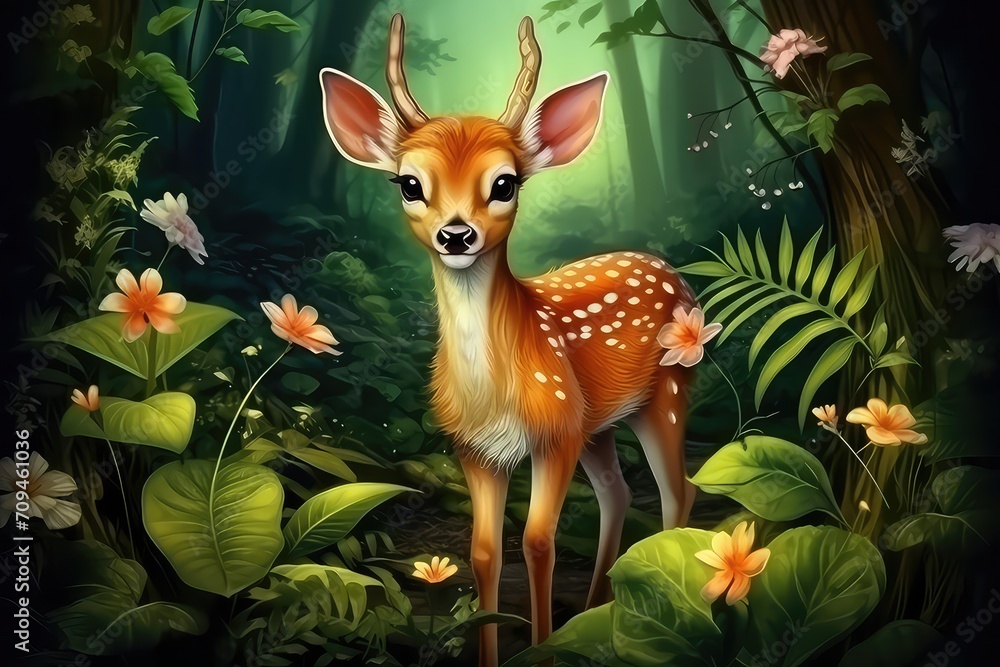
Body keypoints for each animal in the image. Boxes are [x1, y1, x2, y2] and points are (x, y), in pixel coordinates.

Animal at [319, 14, 698, 666]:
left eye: (505, 182)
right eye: (409, 183)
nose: (456, 234)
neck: (493, 388)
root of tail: (672, 271)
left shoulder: (554, 431)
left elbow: (540, 540)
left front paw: (543, 646)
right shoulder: (474, 448)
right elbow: (484, 552)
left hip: (667, 392)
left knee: (678, 494)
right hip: (595, 423)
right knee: (619, 493)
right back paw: (596, 610)